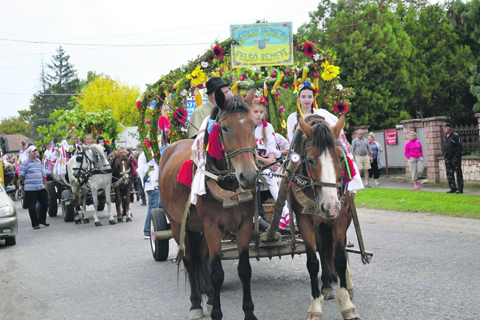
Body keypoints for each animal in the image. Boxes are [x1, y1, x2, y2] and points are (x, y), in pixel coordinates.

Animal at [159, 92, 258, 320]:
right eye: (225, 128)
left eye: (254, 125)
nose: (248, 176)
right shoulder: (212, 228)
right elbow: (217, 273)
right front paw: (217, 312)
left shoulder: (244, 226)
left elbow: (244, 270)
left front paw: (248, 312)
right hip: (178, 224)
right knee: (189, 258)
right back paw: (196, 304)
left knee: (202, 257)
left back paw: (211, 299)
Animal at [288, 115, 360, 320]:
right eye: (311, 160)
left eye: (340, 158)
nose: (330, 206)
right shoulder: (304, 221)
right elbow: (313, 262)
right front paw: (315, 305)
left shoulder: (340, 217)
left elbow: (340, 258)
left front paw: (346, 303)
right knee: (322, 248)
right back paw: (327, 284)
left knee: (338, 247)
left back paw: (347, 282)